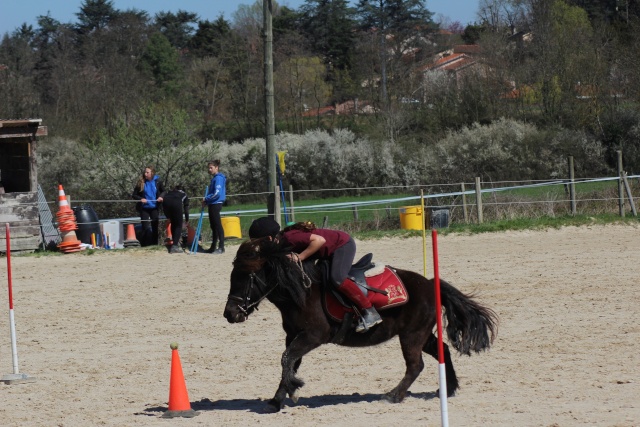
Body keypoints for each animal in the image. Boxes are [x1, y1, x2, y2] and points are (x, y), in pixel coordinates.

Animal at [225, 239, 500, 412]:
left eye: (245, 277)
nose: (230, 314)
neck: (300, 293)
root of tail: (431, 283)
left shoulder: (312, 336)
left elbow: (287, 359)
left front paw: (293, 389)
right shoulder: (294, 336)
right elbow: (289, 362)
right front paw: (278, 398)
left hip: (412, 334)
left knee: (415, 365)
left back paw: (393, 395)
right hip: (421, 333)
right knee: (442, 351)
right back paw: (449, 389)